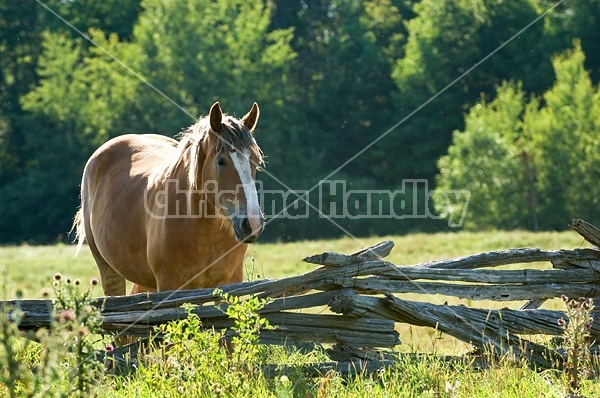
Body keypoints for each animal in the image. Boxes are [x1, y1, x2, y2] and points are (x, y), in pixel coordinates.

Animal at [72, 101, 264, 296]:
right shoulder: (169, 284)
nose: (252, 223)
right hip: (109, 270)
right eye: (221, 161)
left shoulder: (232, 281)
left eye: (256, 160)